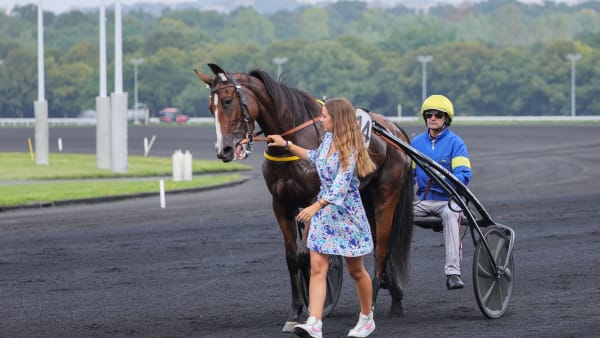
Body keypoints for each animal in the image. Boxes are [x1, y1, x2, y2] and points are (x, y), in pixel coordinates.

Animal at [195, 62, 414, 330]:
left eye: (227, 101)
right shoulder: (280, 204)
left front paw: (313, 307)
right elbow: (291, 257)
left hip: (387, 192)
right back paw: (395, 297)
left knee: (383, 248)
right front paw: (294, 311)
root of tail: (394, 130)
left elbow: (304, 255)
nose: (223, 150)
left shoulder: (313, 200)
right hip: (366, 196)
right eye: (210, 107)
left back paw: (372, 304)